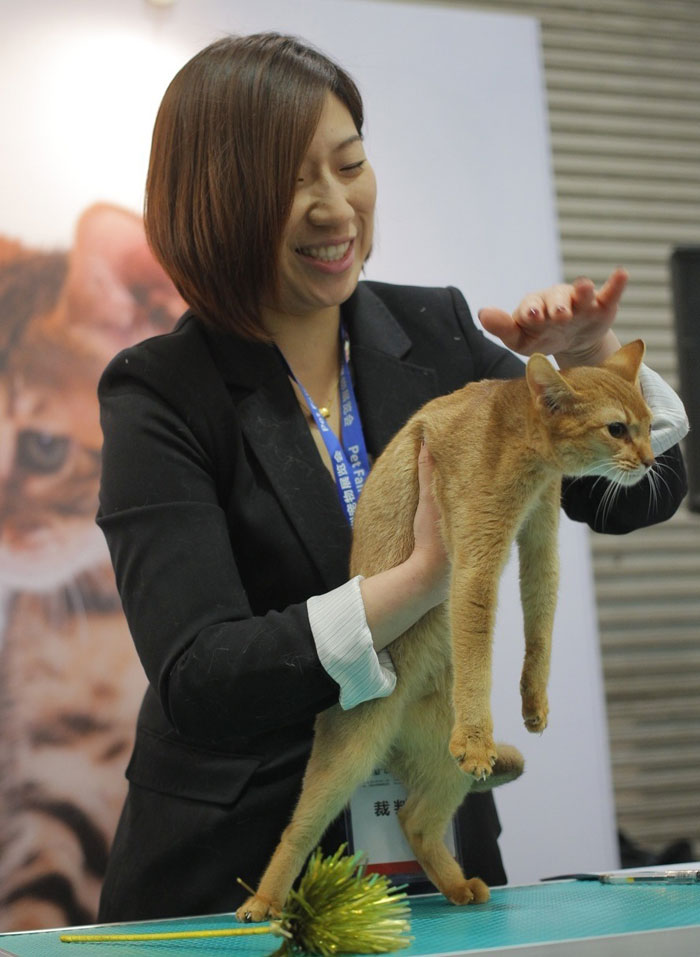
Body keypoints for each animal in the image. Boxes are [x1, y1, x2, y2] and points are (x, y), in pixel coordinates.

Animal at [241, 338, 656, 920]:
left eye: (650, 424)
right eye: (617, 429)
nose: (651, 460)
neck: (521, 448)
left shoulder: (539, 541)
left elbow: (542, 622)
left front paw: (534, 702)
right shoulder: (473, 562)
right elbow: (478, 645)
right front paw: (480, 736)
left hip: (443, 765)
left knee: (413, 819)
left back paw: (459, 886)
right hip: (347, 758)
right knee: (298, 831)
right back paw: (262, 902)